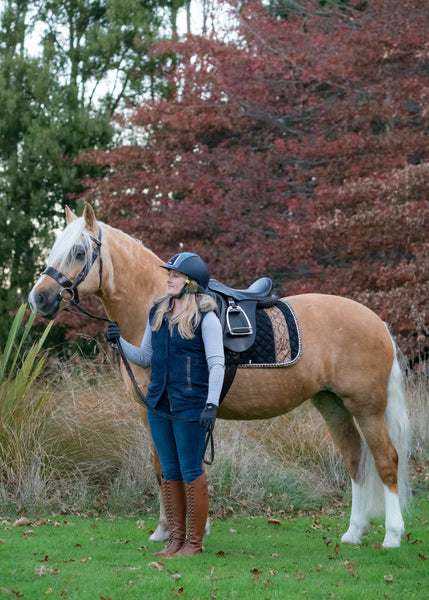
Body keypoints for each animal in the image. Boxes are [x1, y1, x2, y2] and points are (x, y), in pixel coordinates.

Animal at [28, 205, 410, 548]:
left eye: (78, 252)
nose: (38, 299)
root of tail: (376, 321)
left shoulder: (165, 410)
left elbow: (172, 465)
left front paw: (177, 530)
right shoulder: (166, 412)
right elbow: (171, 465)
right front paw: (178, 529)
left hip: (366, 407)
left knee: (386, 460)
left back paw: (391, 536)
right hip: (332, 405)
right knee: (355, 460)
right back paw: (353, 533)